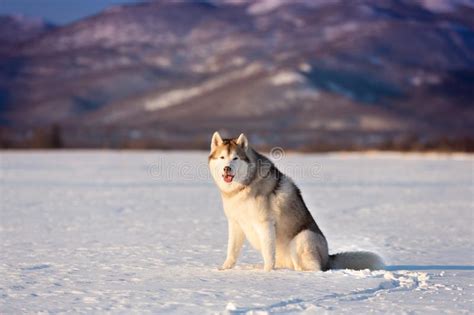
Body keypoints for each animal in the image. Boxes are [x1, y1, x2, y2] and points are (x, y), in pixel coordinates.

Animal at [209, 132, 384, 272]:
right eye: (222, 157)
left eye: (235, 158)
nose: (227, 168)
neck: (243, 187)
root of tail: (328, 258)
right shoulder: (236, 223)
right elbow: (232, 251)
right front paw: (224, 269)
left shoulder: (265, 224)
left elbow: (268, 254)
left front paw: (266, 273)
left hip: (302, 238)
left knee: (312, 268)